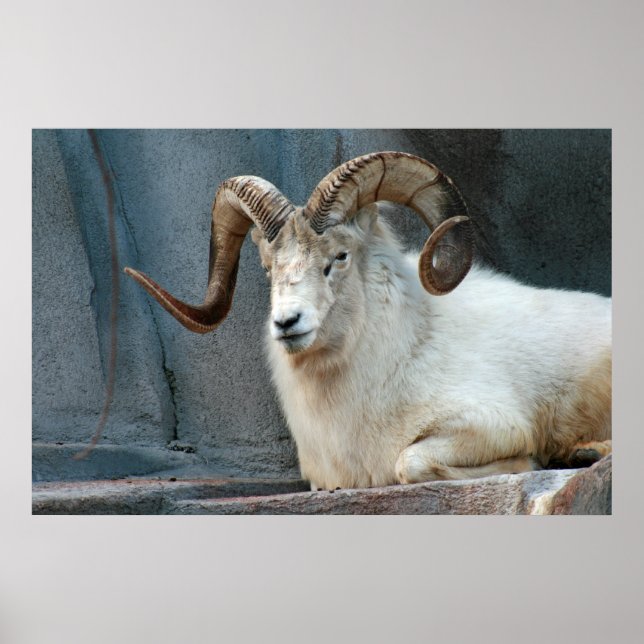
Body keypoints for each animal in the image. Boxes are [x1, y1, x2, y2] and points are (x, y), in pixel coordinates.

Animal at [125, 151, 612, 491]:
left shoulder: (490, 425)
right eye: (267, 267)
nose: (287, 323)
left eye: (339, 256)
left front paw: (530, 463)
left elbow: (408, 462)